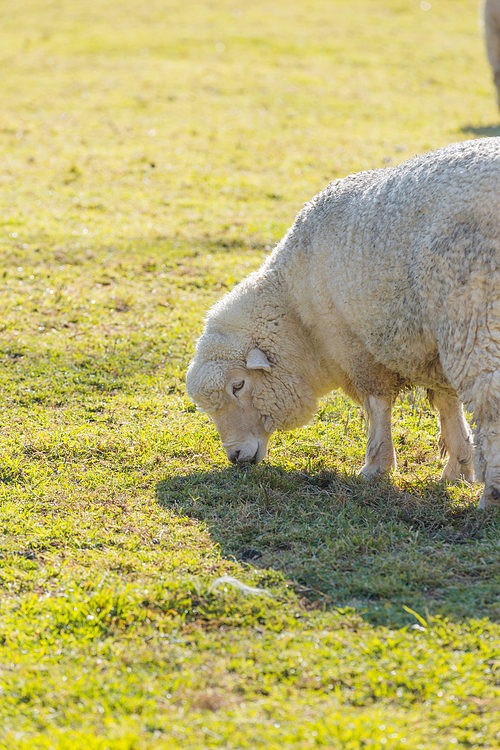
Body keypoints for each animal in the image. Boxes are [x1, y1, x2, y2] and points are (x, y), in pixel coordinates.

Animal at [186, 138, 500, 508]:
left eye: (238, 385)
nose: (235, 457)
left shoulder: (356, 345)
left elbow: (378, 405)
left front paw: (376, 467)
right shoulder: (429, 346)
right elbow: (447, 403)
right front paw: (458, 468)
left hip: (474, 316)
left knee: (490, 402)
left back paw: (491, 497)